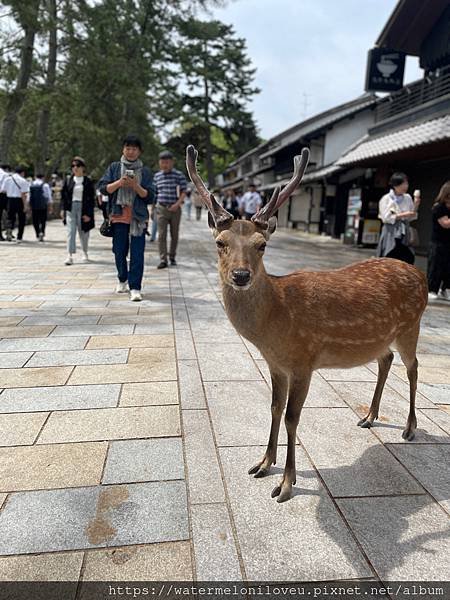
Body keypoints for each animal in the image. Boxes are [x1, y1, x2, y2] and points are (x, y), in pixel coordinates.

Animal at [186, 144, 428, 502]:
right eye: (220, 242)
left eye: (262, 245)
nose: (241, 275)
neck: (274, 322)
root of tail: (421, 275)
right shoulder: (276, 364)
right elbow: (274, 408)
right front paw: (262, 464)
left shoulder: (304, 360)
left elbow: (292, 417)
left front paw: (286, 484)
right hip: (385, 337)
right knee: (385, 359)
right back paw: (369, 417)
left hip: (412, 325)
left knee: (413, 367)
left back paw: (410, 428)